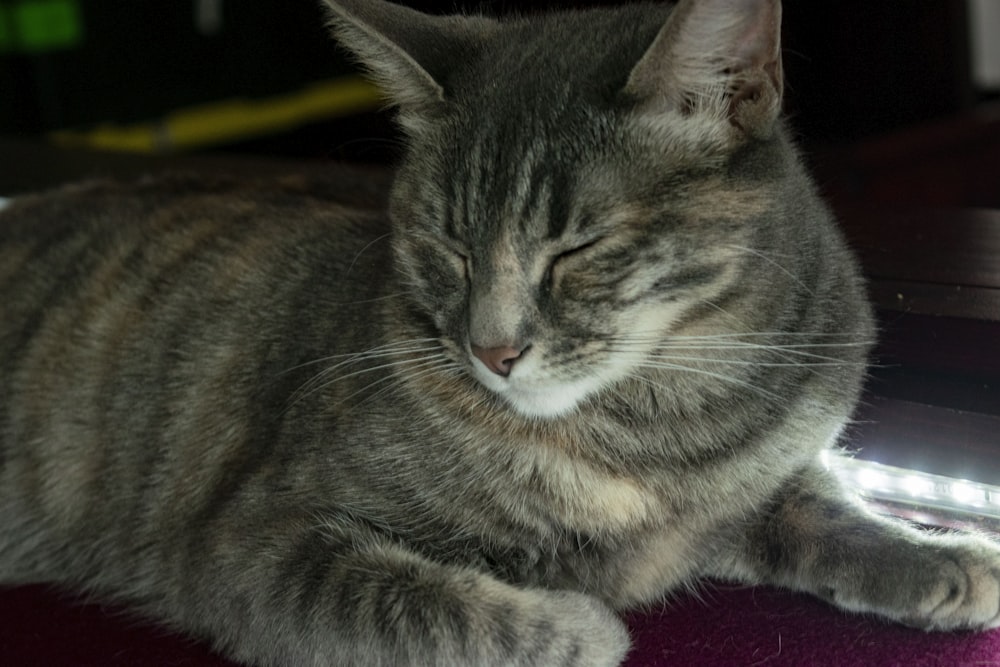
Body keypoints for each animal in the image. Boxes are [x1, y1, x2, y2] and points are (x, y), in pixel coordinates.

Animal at [1, 0, 1000, 664]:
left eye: (578, 247)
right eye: (447, 245)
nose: (493, 350)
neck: (664, 428)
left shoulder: (760, 477)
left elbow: (827, 502)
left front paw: (939, 555)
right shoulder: (257, 539)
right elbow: (426, 605)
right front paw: (580, 624)